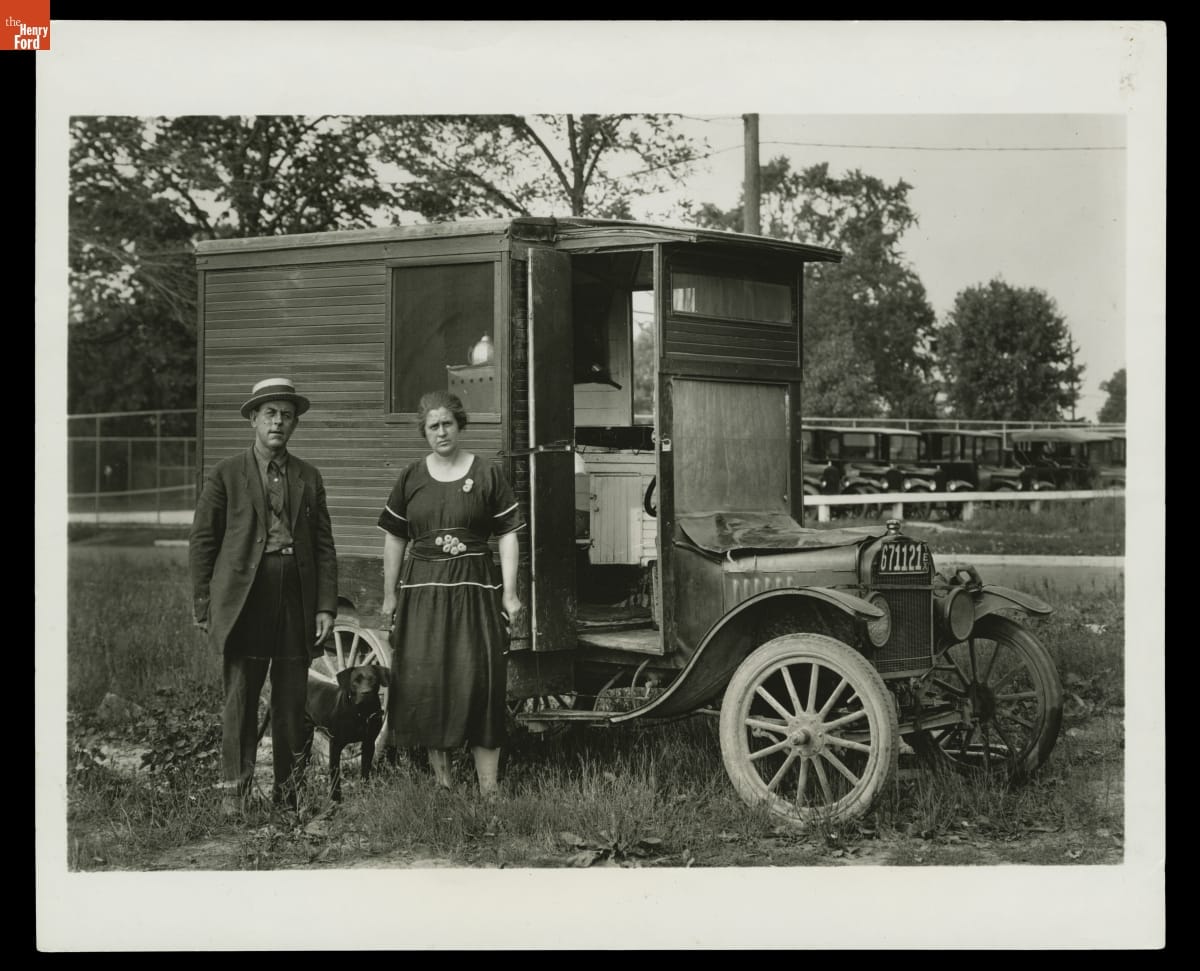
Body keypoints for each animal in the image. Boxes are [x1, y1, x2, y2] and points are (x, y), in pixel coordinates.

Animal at [257, 664, 386, 803]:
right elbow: (335, 772)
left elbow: (365, 770)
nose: (366, 692)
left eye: (373, 679)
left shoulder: (369, 743)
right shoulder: (335, 745)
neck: (361, 713)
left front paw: (365, 794)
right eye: (355, 681)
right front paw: (335, 799)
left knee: (302, 764)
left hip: (307, 739)